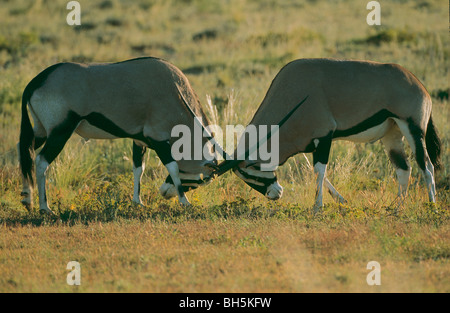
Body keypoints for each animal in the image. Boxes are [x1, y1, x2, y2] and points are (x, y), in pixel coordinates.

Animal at [18, 56, 219, 213]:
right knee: (41, 161)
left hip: (42, 131)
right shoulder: (159, 140)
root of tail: (36, 81)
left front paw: (138, 202)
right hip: (60, 132)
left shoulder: (140, 141)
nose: (164, 193)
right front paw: (185, 202)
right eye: (204, 178)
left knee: (25, 150)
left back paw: (27, 198)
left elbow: (139, 168)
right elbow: (173, 168)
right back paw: (44, 207)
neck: (174, 91)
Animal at [216, 58, 442, 210]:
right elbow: (319, 173)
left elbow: (319, 172)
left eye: (247, 171)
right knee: (404, 169)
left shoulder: (323, 137)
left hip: (412, 129)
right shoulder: (311, 144)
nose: (275, 194)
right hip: (392, 135)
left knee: (427, 166)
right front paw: (341, 201)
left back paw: (432, 205)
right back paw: (397, 208)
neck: (292, 92)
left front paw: (318, 207)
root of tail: (419, 86)